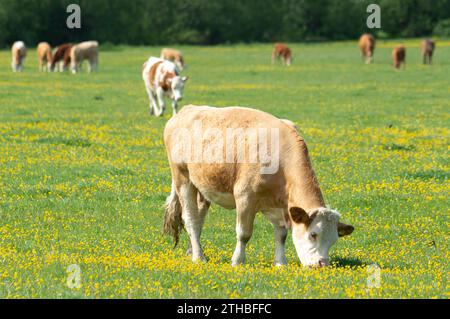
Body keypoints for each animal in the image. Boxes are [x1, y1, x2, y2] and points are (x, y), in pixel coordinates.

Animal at [163, 105, 354, 268]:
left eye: (334, 239)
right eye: (313, 234)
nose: (323, 264)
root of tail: (186, 110)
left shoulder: (280, 205)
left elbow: (282, 235)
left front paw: (280, 263)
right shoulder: (245, 197)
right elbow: (244, 233)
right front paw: (238, 261)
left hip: (203, 185)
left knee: (199, 218)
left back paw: (192, 251)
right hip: (183, 179)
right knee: (190, 219)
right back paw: (198, 257)